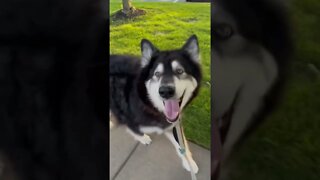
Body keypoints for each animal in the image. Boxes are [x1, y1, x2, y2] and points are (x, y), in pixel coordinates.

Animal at [109, 34, 201, 173]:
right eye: (157, 74)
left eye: (179, 71)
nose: (165, 91)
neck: (148, 102)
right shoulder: (125, 115)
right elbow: (134, 130)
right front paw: (143, 138)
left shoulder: (171, 123)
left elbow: (181, 145)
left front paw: (189, 163)